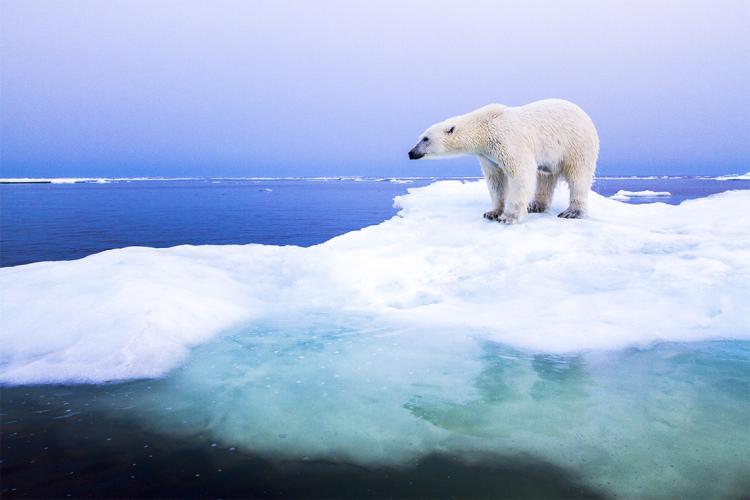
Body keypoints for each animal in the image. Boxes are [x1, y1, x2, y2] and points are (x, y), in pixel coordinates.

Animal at [408, 99, 599, 223]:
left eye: (425, 139)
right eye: (421, 137)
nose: (411, 153)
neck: (484, 127)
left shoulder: (507, 140)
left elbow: (521, 173)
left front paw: (509, 217)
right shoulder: (488, 156)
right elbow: (496, 180)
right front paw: (492, 213)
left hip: (576, 144)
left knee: (578, 176)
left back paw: (572, 212)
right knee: (545, 177)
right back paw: (535, 205)